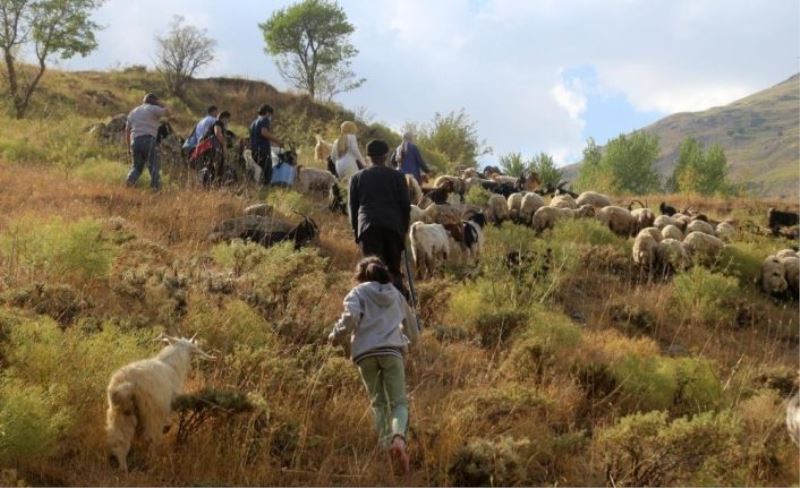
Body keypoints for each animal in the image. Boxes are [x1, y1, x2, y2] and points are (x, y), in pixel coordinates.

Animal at [109, 334, 217, 470]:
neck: (172, 366)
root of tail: (128, 384)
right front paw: (167, 428)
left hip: (120, 413)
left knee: (120, 441)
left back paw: (123, 468)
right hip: (152, 413)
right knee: (151, 439)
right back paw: (152, 463)